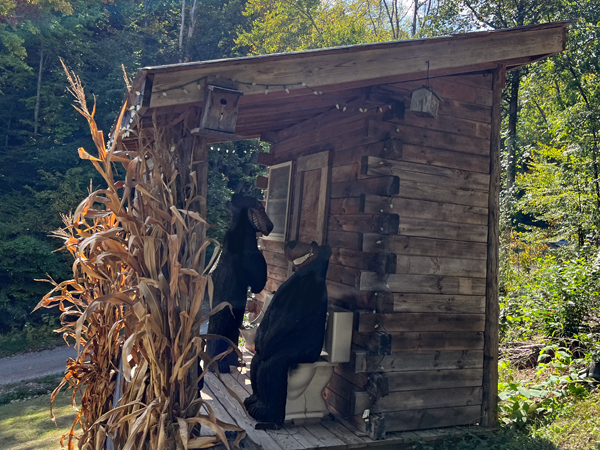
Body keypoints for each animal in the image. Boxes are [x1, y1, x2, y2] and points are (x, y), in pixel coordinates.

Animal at [206, 195, 272, 374]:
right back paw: (219, 364)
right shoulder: (253, 265)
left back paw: (234, 361)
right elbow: (258, 282)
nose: (271, 226)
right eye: (260, 207)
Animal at [243, 241, 330, 428]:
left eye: (311, 244)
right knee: (256, 362)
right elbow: (269, 317)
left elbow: (288, 322)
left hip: (297, 355)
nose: (290, 243)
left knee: (272, 367)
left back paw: (267, 415)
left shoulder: (307, 292)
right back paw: (253, 402)